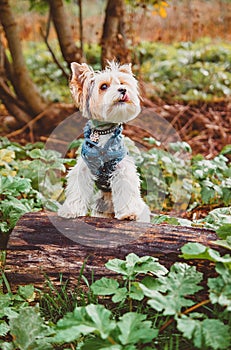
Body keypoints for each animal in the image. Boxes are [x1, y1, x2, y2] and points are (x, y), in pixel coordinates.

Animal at [57, 60, 151, 221]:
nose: (123, 89)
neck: (103, 132)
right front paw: (71, 211)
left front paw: (128, 213)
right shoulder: (83, 167)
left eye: (122, 83)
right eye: (104, 86)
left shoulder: (121, 167)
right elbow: (77, 189)